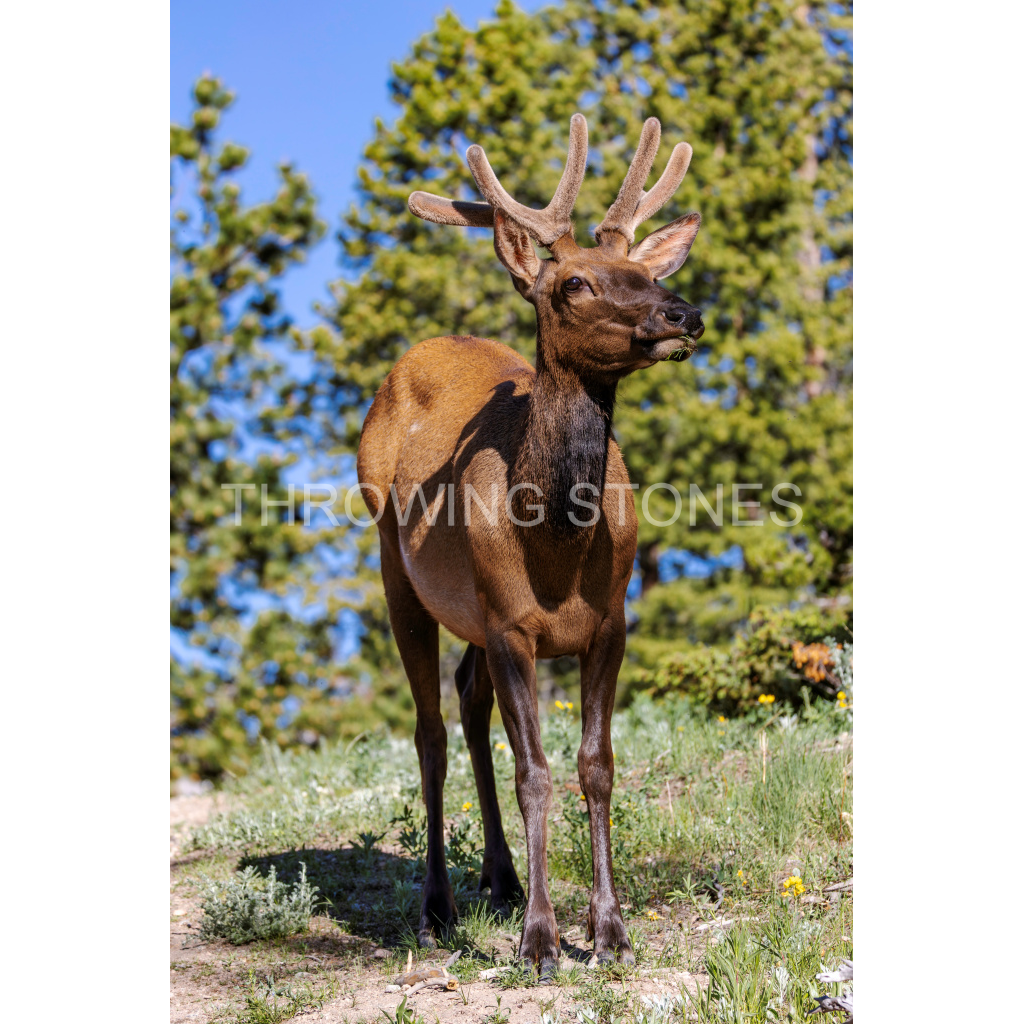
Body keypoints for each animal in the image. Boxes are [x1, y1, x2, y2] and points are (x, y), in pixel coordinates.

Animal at [356, 114, 704, 976]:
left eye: (639, 270)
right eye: (573, 283)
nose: (681, 313)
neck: (555, 551)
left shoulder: (608, 624)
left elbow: (595, 767)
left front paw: (609, 931)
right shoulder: (515, 626)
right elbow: (536, 773)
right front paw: (543, 942)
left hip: (475, 614)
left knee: (466, 696)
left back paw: (502, 878)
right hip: (395, 567)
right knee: (430, 731)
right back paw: (437, 908)